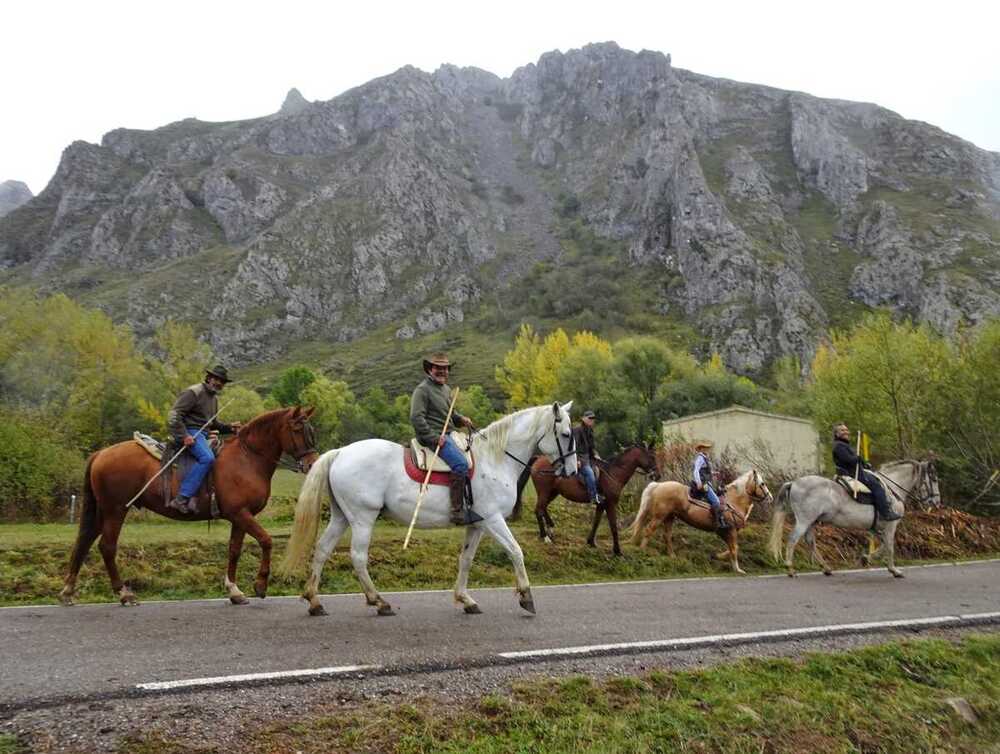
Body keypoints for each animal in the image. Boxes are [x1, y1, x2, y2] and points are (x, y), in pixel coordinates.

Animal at [59, 406, 316, 604]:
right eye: (297, 429)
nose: (312, 463)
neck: (247, 458)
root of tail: (100, 453)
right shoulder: (241, 514)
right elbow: (266, 540)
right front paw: (260, 585)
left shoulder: (240, 517)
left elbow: (234, 550)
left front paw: (234, 591)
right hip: (116, 510)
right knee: (107, 546)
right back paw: (124, 593)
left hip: (103, 511)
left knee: (85, 541)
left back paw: (68, 591)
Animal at [280, 402, 580, 612]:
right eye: (566, 434)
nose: (573, 471)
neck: (495, 458)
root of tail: (340, 452)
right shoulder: (493, 519)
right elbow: (515, 551)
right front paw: (526, 596)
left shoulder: (477, 524)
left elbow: (466, 560)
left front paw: (465, 599)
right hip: (363, 519)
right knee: (358, 557)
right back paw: (379, 602)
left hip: (342, 517)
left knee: (322, 550)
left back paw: (315, 601)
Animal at [516, 440, 664, 552]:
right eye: (652, 457)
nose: (657, 475)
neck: (613, 473)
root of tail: (539, 458)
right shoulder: (610, 503)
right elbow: (613, 526)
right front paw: (617, 551)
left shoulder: (601, 504)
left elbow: (596, 522)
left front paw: (591, 542)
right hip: (545, 491)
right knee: (539, 510)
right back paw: (545, 536)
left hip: (552, 492)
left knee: (543, 508)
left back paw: (550, 528)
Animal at [632, 468, 772, 572]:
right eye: (762, 484)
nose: (770, 497)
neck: (733, 501)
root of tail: (658, 485)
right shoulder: (730, 530)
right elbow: (734, 548)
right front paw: (737, 569)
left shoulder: (727, 532)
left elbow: (731, 548)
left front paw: (716, 556)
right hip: (659, 517)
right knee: (649, 530)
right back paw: (642, 551)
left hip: (669, 517)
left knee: (667, 536)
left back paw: (672, 556)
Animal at [768, 458, 940, 576]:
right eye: (934, 479)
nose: (937, 502)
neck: (892, 488)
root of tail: (794, 483)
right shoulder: (891, 525)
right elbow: (890, 546)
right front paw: (894, 570)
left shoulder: (877, 528)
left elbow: (884, 546)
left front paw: (865, 559)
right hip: (804, 521)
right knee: (793, 539)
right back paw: (790, 568)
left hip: (811, 522)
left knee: (810, 542)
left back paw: (826, 568)